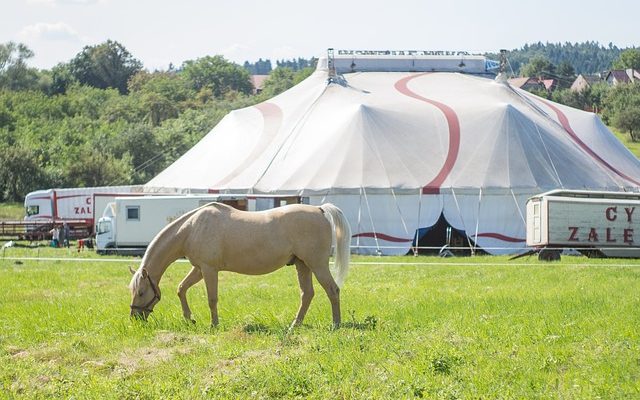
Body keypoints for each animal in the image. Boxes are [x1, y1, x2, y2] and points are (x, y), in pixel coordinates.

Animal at [128, 203, 352, 328]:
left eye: (141, 292)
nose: (135, 319)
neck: (191, 228)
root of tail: (320, 210)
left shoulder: (209, 270)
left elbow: (212, 299)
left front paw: (214, 325)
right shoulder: (199, 269)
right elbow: (181, 288)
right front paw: (189, 319)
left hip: (317, 264)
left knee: (332, 290)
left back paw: (336, 324)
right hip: (302, 265)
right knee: (307, 294)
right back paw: (294, 325)